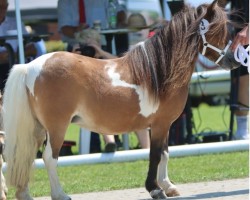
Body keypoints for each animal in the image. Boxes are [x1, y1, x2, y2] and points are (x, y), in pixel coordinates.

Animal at [2, 0, 240, 199]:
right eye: (217, 31)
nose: (233, 61)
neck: (160, 72)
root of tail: (30, 66)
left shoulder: (165, 125)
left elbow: (165, 153)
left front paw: (168, 186)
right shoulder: (159, 125)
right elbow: (155, 155)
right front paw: (155, 189)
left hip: (36, 128)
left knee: (25, 156)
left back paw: (25, 194)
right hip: (57, 127)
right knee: (49, 158)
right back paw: (60, 194)